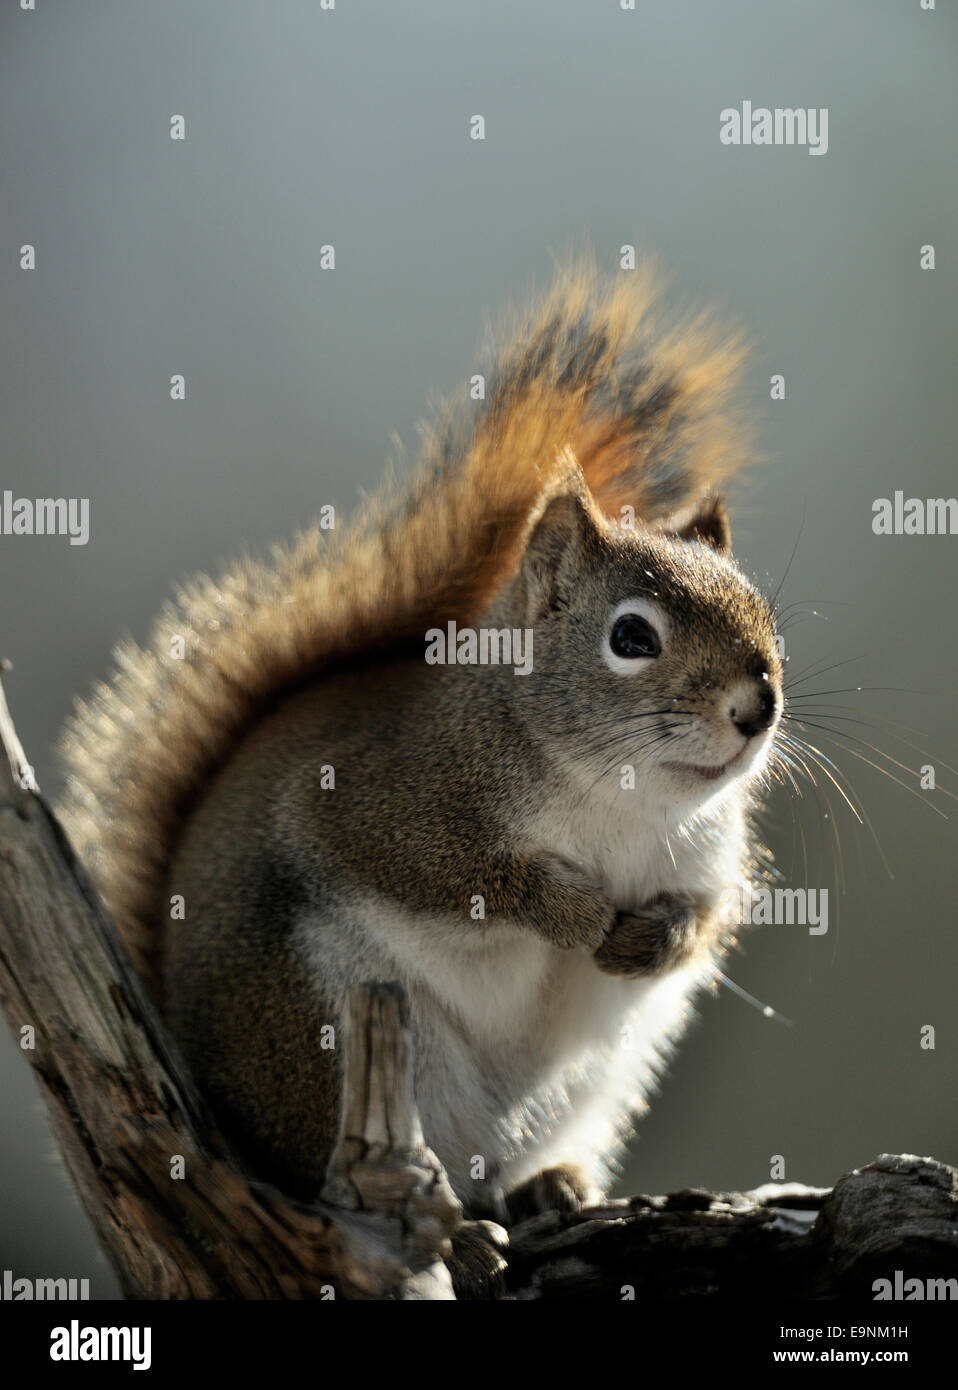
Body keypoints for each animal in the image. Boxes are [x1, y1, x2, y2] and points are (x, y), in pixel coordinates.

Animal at [59, 262, 778, 1228]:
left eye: (764, 613)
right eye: (631, 636)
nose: (758, 706)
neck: (622, 796)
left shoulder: (705, 856)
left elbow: (705, 919)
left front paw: (652, 940)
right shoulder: (382, 796)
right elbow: (446, 871)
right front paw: (571, 911)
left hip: (594, 1079)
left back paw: (544, 1186)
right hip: (324, 1029)